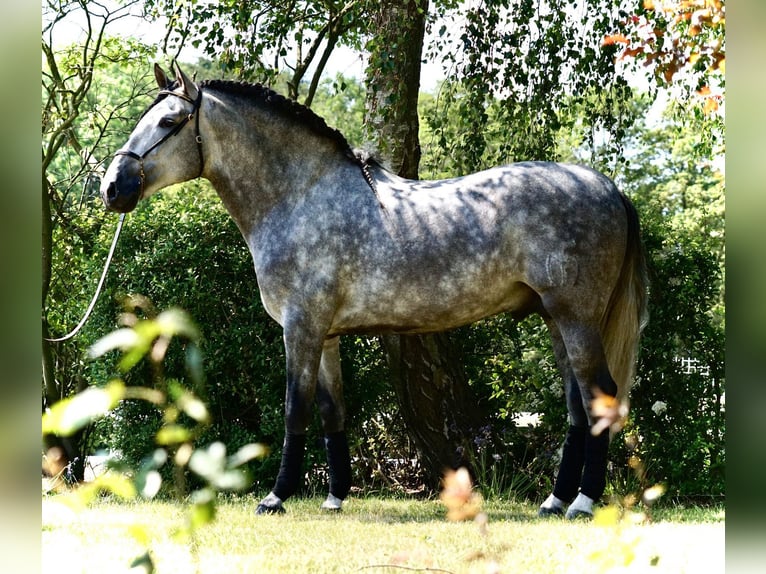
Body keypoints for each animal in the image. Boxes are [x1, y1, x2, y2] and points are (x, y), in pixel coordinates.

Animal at [100, 63, 648, 519]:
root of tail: (609, 188)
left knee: (599, 397)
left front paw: (276, 497)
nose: (112, 186)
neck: (301, 198)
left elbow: (295, 407)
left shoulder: (301, 328)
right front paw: (334, 497)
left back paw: (582, 502)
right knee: (578, 405)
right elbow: (331, 411)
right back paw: (555, 501)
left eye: (169, 122)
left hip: (576, 318)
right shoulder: (326, 336)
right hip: (556, 319)